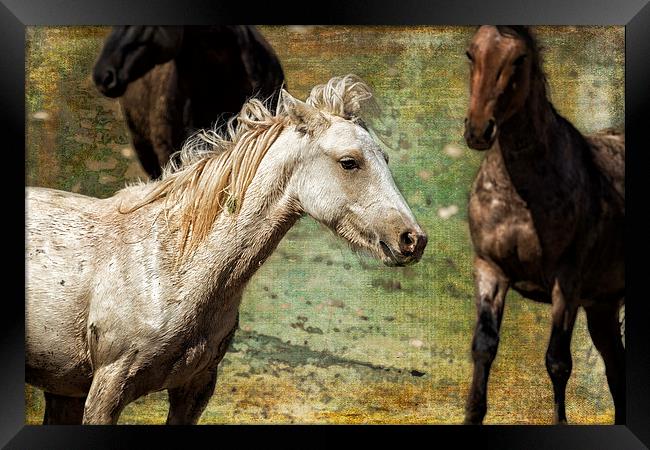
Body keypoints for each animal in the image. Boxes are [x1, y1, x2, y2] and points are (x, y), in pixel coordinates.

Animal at [25, 74, 428, 426]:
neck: (168, 266)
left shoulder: (194, 390)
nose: (413, 239)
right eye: (349, 162)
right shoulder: (105, 391)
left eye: (385, 160)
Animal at [460, 25, 624, 426]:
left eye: (519, 58)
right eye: (471, 53)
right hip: (603, 306)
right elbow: (483, 347)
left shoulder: (566, 280)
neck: (520, 194)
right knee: (617, 369)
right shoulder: (490, 269)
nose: (478, 130)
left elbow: (558, 362)